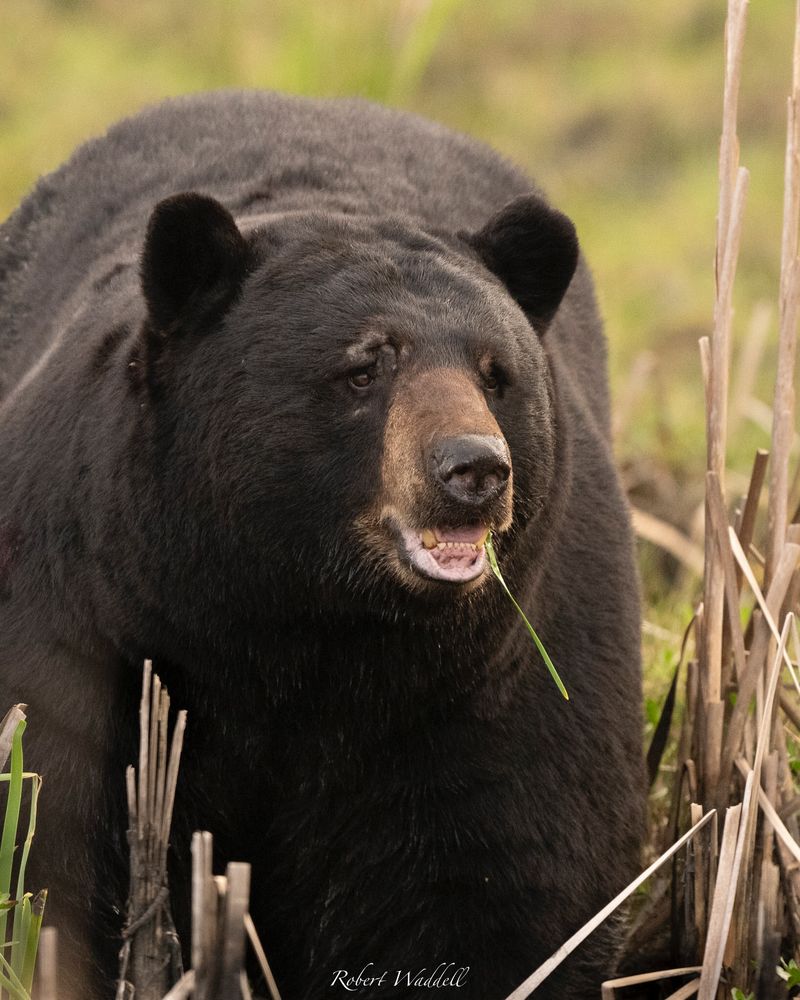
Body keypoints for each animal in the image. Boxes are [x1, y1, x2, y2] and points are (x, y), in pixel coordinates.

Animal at [0, 90, 644, 996]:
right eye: (363, 368)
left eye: (495, 373)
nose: (475, 469)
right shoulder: (83, 618)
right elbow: (50, 824)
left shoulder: (503, 678)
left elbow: (519, 868)